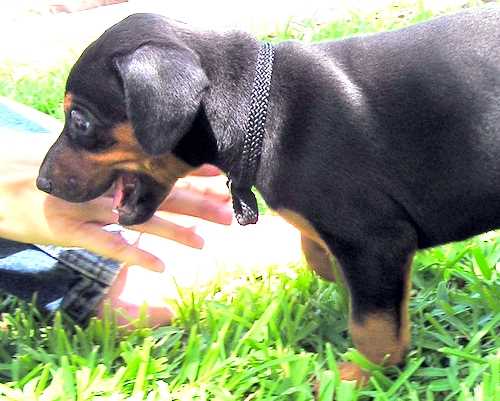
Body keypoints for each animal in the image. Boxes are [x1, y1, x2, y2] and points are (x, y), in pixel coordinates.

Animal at [37, 5, 498, 372]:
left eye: (80, 121)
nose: (41, 182)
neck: (258, 104)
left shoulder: (376, 241)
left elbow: (372, 326)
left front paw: (358, 374)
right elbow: (316, 252)